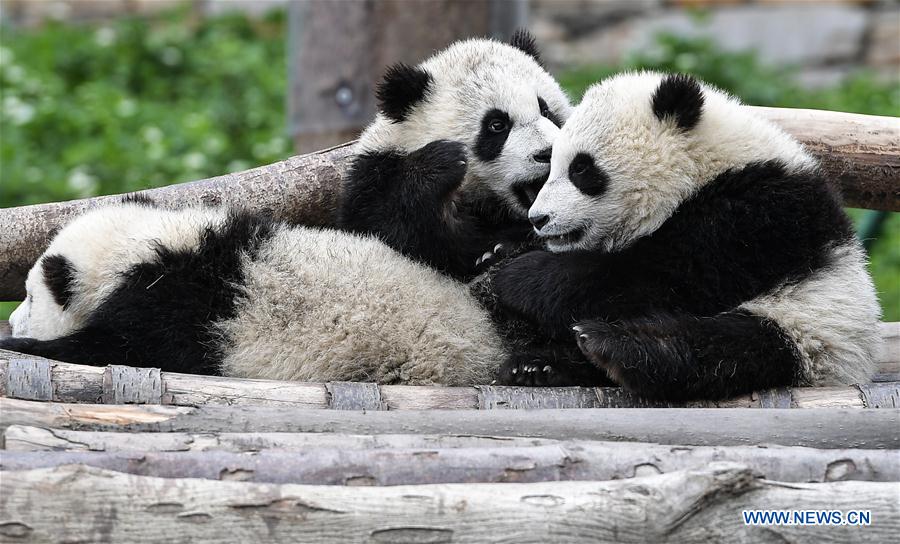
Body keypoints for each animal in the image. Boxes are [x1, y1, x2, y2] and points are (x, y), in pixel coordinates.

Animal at [339, 30, 572, 280]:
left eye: (546, 111)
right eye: (497, 125)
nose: (548, 152)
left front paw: (502, 249)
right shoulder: (375, 175)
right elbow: (388, 229)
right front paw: (439, 164)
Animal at [487, 72, 882, 400]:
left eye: (581, 168)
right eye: (551, 162)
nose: (539, 218)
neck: (704, 168)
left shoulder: (758, 215)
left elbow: (668, 277)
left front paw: (518, 274)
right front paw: (500, 251)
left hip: (813, 330)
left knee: (725, 348)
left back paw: (613, 348)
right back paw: (538, 365)